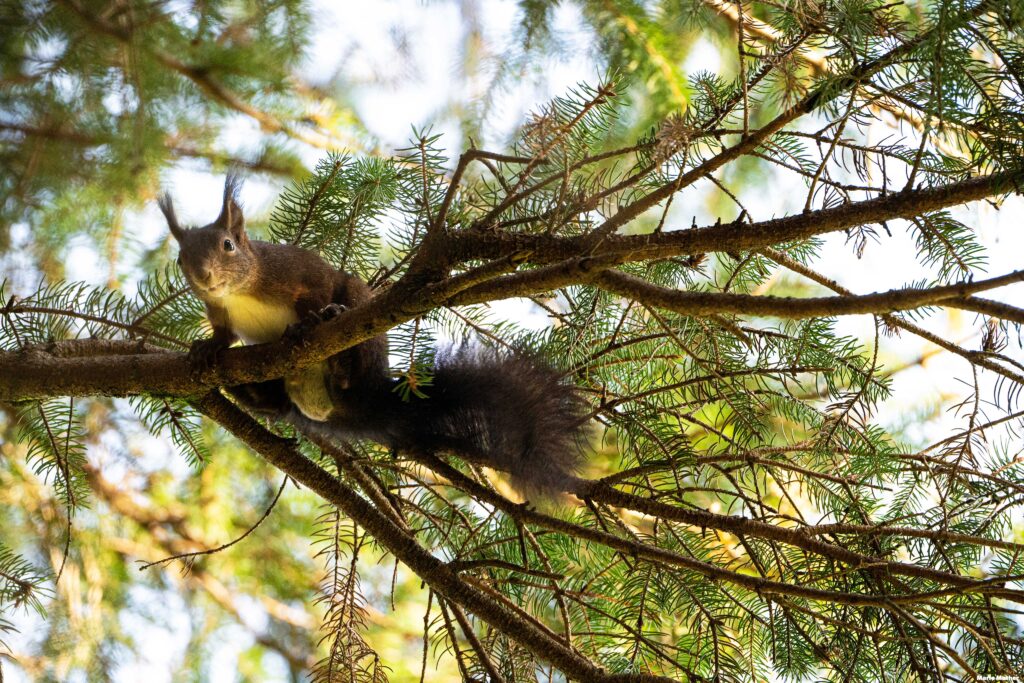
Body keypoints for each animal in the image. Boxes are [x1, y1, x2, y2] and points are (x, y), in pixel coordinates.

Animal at [161, 175, 593, 497]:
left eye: (227, 245)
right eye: (180, 259)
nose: (203, 276)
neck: (237, 294)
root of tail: (367, 401)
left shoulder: (298, 273)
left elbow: (317, 294)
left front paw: (309, 321)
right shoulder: (219, 311)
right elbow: (223, 333)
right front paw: (206, 348)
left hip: (360, 321)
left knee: (349, 359)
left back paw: (339, 359)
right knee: (275, 404)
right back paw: (248, 391)